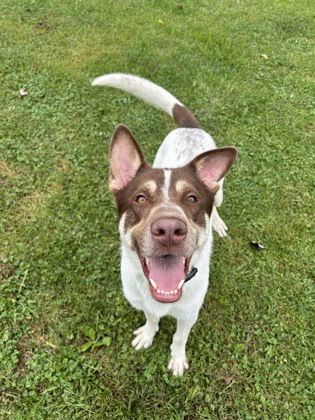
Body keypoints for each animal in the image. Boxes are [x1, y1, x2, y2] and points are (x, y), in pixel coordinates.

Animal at [91, 74, 237, 376]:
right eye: (140, 198)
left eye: (192, 198)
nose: (169, 230)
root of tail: (190, 127)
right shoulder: (143, 302)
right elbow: (151, 318)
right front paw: (148, 334)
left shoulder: (189, 314)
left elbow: (180, 337)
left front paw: (177, 359)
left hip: (220, 189)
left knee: (217, 202)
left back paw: (217, 221)